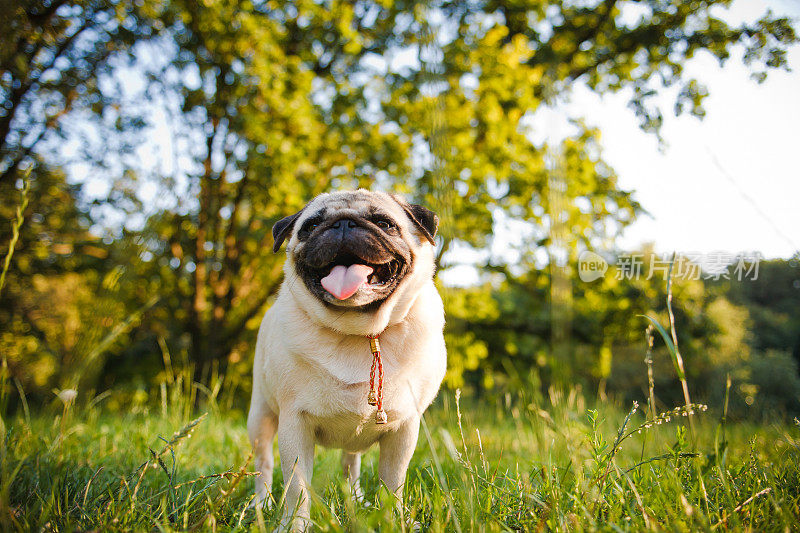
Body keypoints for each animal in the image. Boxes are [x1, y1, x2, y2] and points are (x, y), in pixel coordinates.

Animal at [248, 188, 446, 528]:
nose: (343, 224)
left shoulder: (404, 428)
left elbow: (393, 483)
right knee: (264, 465)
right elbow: (297, 487)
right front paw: (294, 526)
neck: (359, 332)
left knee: (350, 463)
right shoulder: (294, 424)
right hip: (260, 416)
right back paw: (262, 504)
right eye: (311, 226)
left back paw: (355, 500)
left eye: (384, 223)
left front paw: (394, 520)